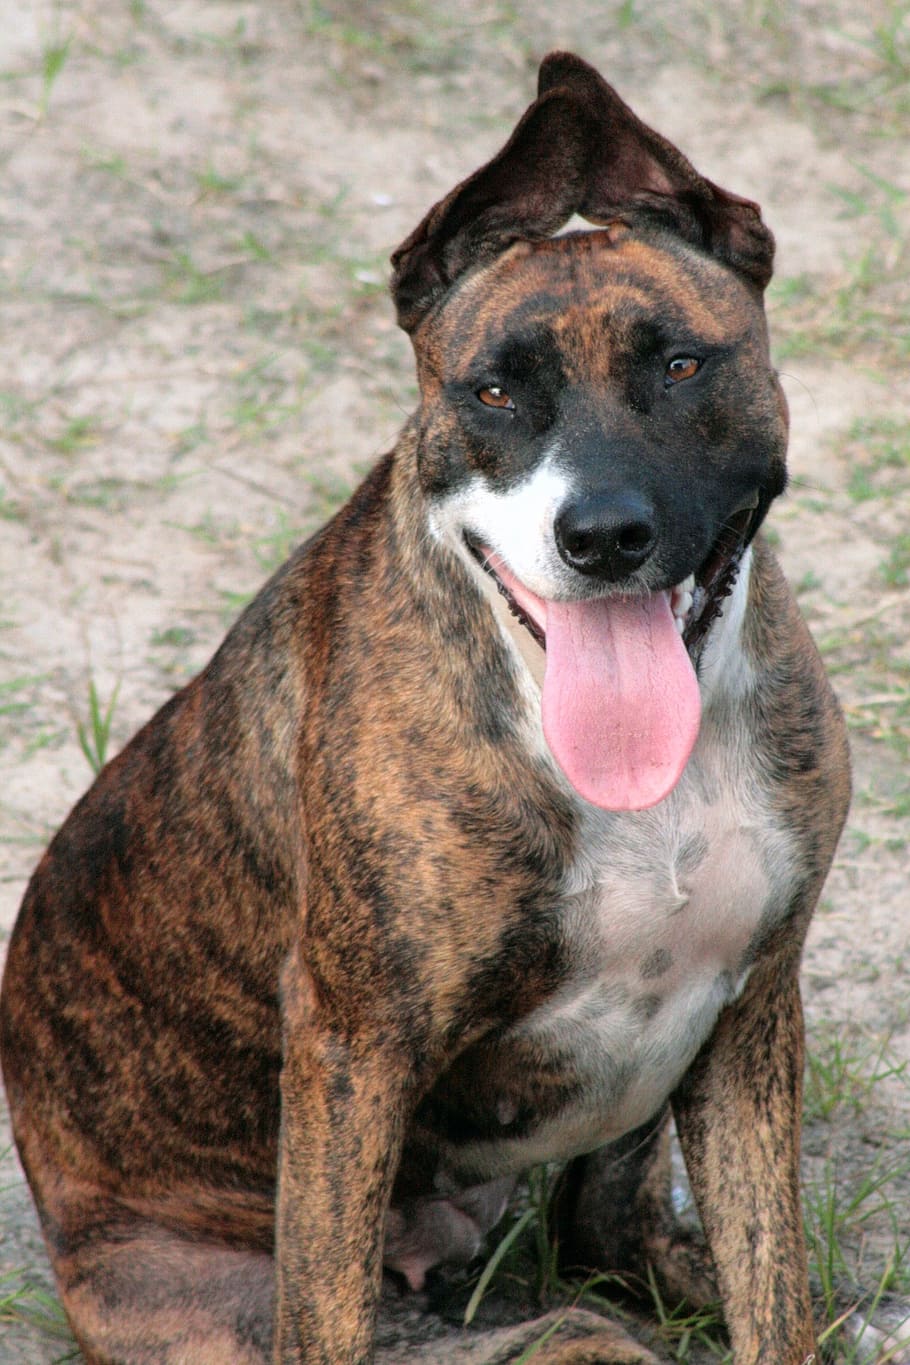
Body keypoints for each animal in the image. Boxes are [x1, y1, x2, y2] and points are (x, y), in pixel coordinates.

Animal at [1, 53, 856, 1365]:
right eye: (493, 392)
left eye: (678, 367)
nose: (602, 534)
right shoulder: (353, 1047)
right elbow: (327, 1309)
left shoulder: (754, 1009)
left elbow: (777, 1295)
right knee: (556, 1317)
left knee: (602, 1230)